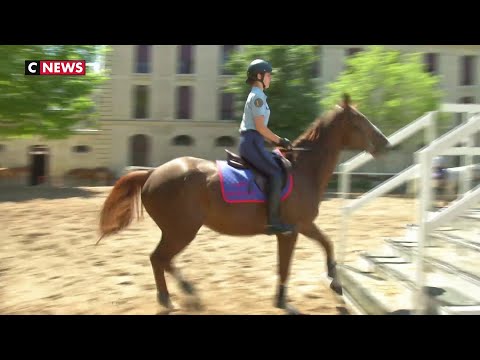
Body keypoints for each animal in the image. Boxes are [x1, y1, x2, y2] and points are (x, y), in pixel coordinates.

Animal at [96, 94, 390, 314]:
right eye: (360, 121)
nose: (385, 143)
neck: (303, 168)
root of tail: (152, 173)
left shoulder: (302, 226)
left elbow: (325, 244)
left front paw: (334, 283)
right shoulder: (292, 230)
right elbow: (289, 264)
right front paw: (285, 300)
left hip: (177, 230)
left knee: (161, 259)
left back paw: (182, 294)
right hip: (181, 230)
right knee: (159, 258)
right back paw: (176, 296)